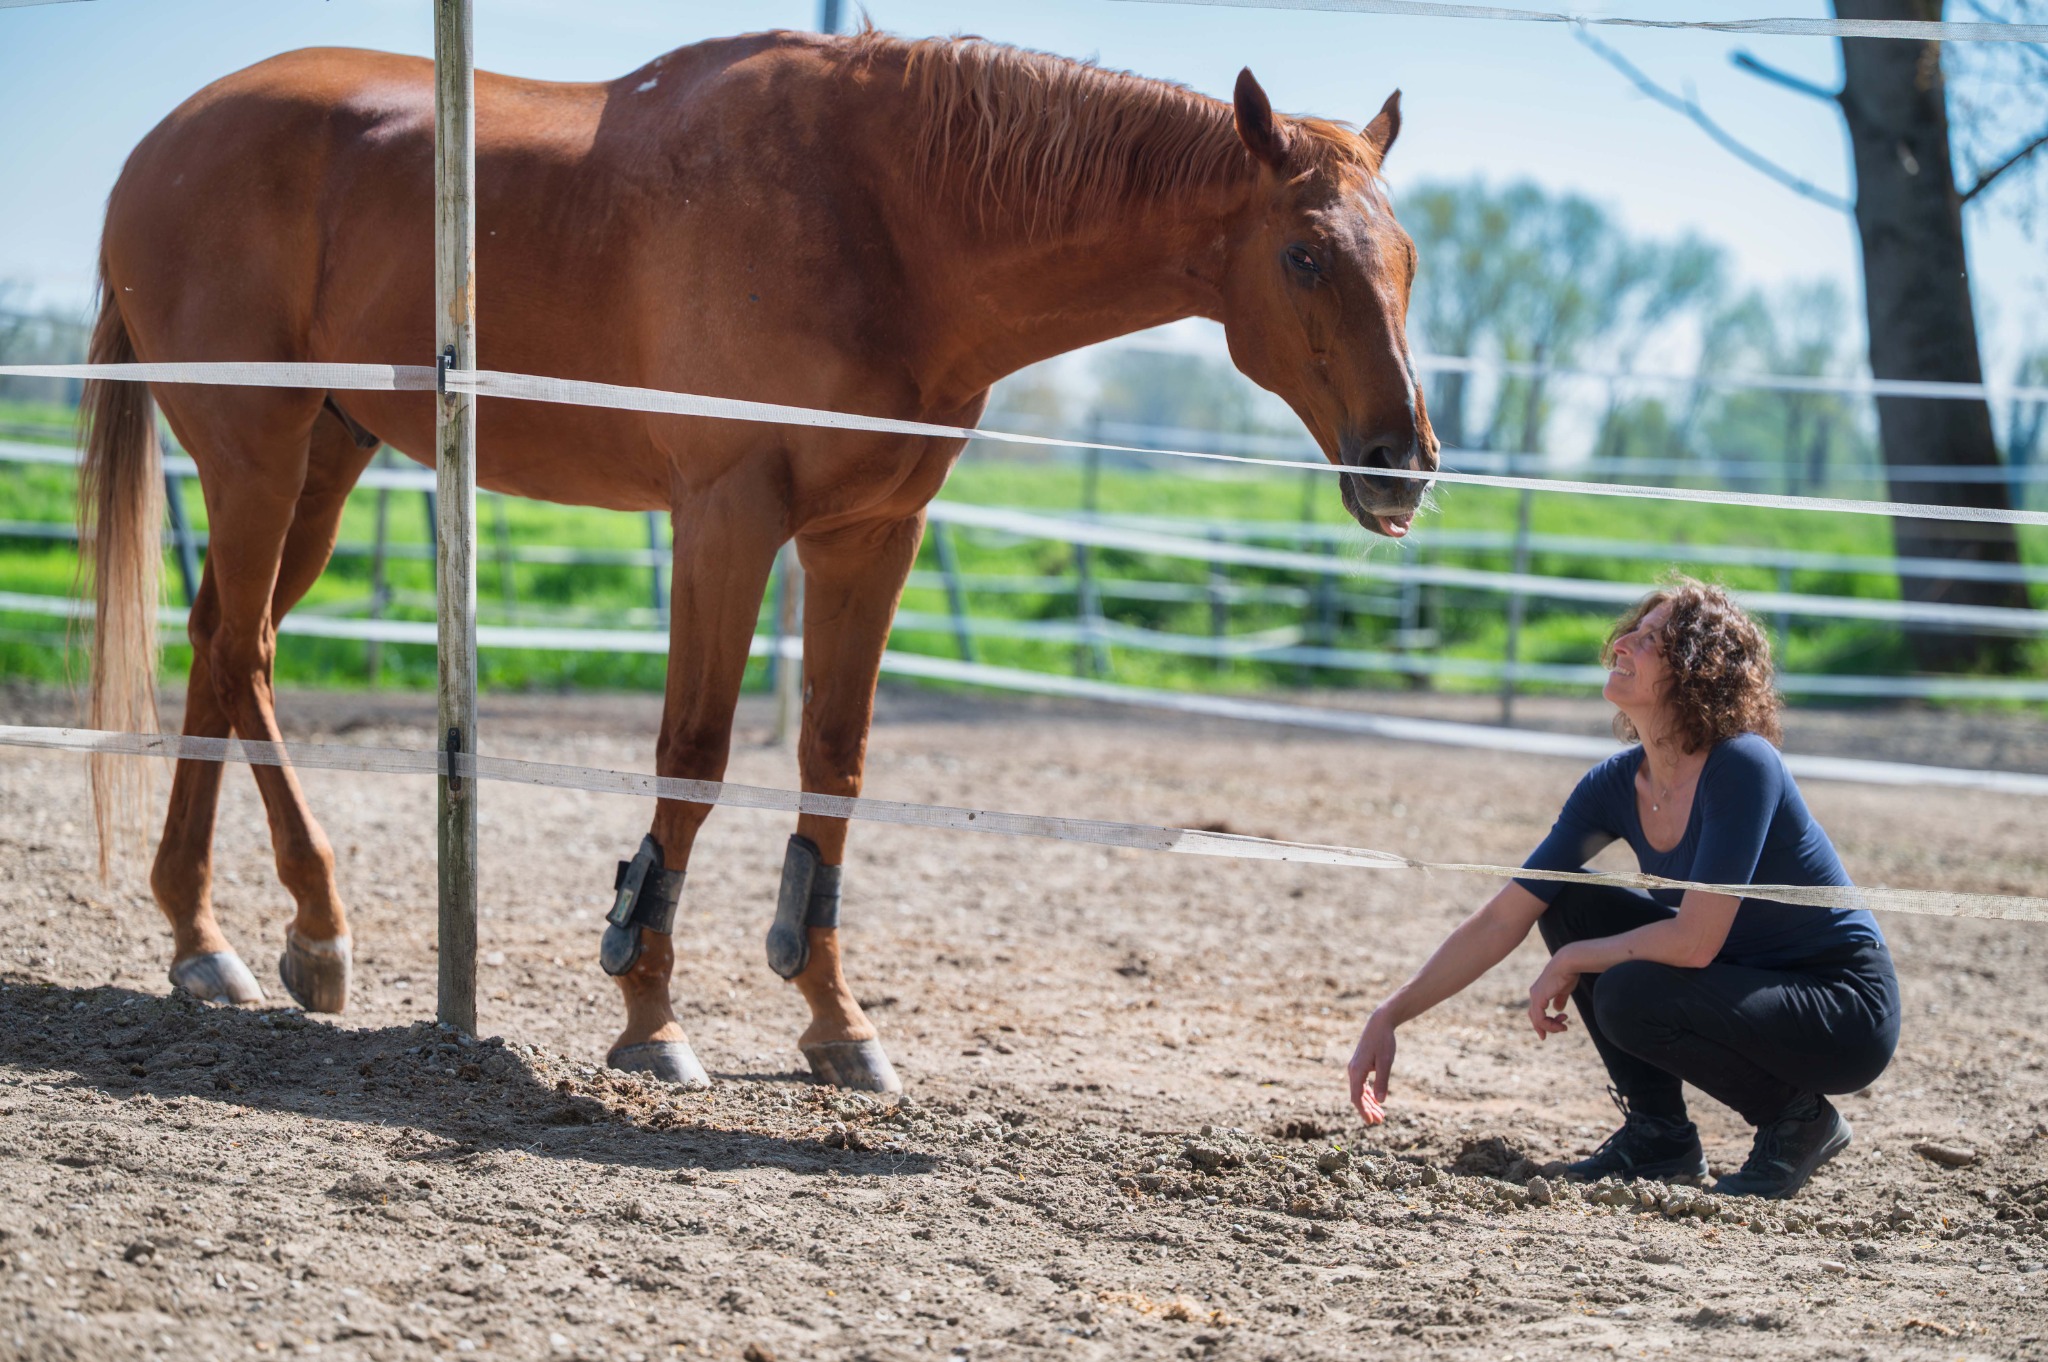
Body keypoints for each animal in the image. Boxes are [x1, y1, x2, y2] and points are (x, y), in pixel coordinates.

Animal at [79, 27, 1437, 1092]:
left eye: (1408, 263)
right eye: (1302, 256)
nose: (1402, 464)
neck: (884, 218)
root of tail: (157, 147)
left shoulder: (868, 535)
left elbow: (832, 767)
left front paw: (837, 1024)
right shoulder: (725, 520)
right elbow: (693, 757)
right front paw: (648, 1013)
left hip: (324, 456)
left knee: (219, 649)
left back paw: (201, 938)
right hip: (256, 455)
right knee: (243, 652)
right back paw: (312, 927)